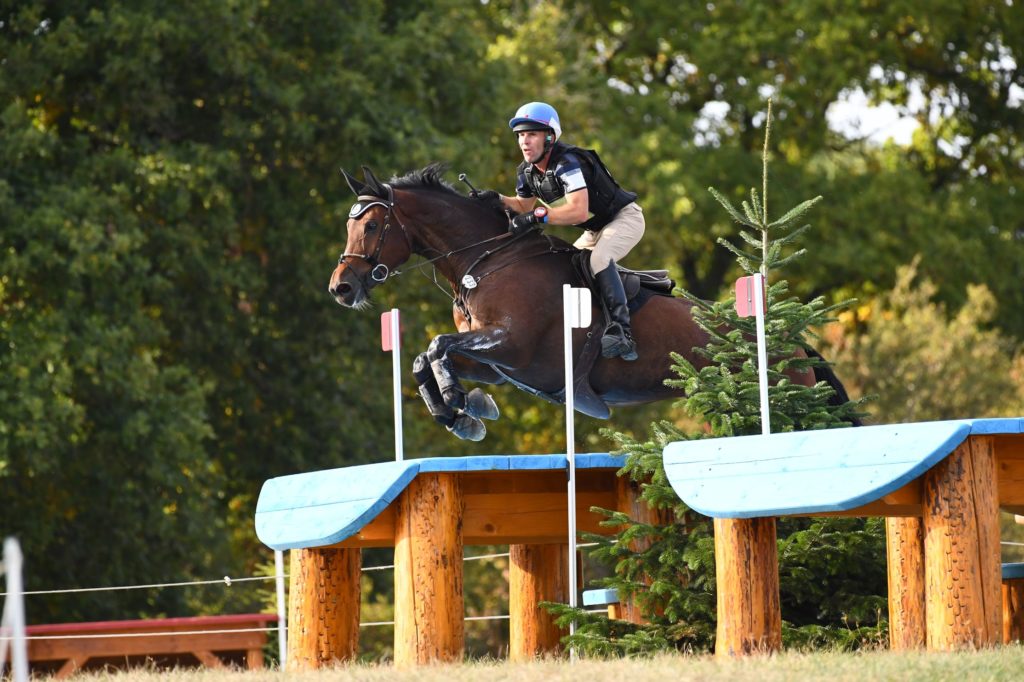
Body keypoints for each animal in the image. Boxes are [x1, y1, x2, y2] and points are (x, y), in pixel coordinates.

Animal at [331, 164, 851, 440]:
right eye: (351, 225)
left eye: (372, 226)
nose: (341, 288)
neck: (489, 259)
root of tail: (796, 346)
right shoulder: (498, 363)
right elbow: (426, 358)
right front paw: (463, 413)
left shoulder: (515, 347)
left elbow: (437, 347)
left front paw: (462, 407)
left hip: (790, 404)